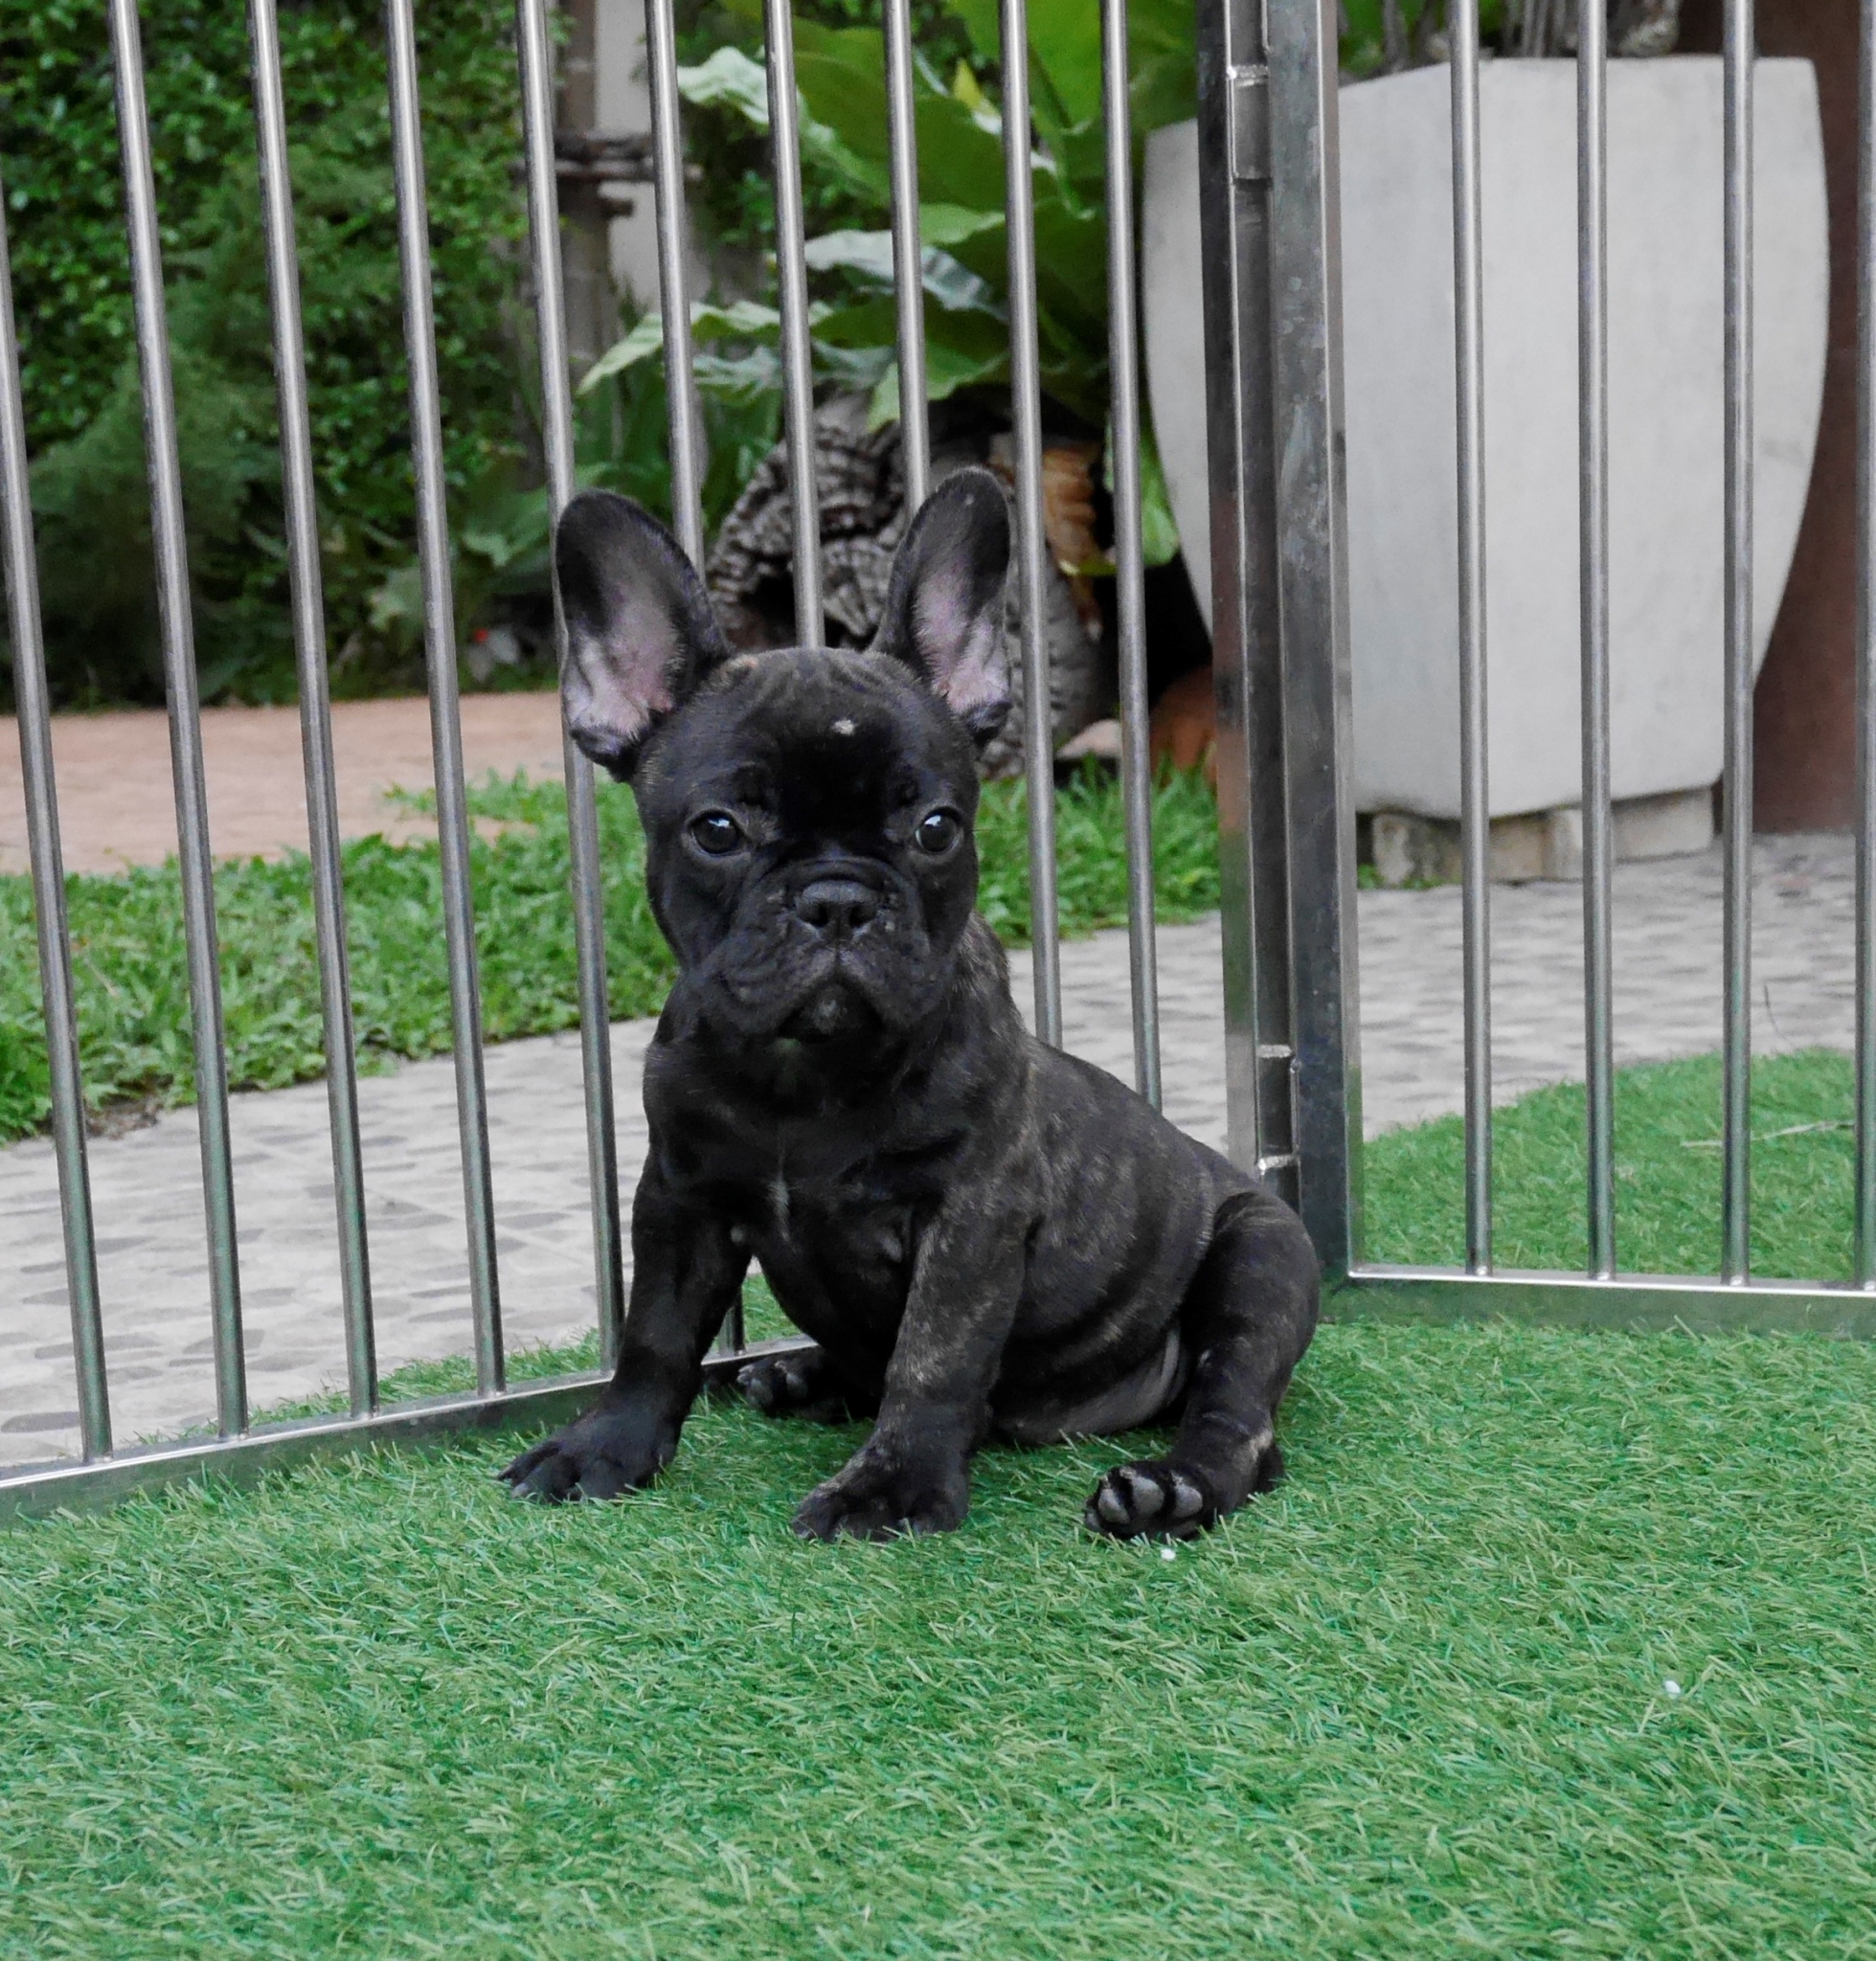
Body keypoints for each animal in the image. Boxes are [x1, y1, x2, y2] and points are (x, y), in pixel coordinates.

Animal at [500, 468, 1319, 1539]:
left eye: (936, 827)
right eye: (717, 829)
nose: (837, 899)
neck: (804, 1073)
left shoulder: (968, 1217)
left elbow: (934, 1354)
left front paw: (890, 1486)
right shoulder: (679, 1198)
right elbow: (655, 1335)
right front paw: (604, 1448)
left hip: (1263, 1257)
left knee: (1238, 1411)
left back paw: (1168, 1485)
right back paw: (797, 1375)